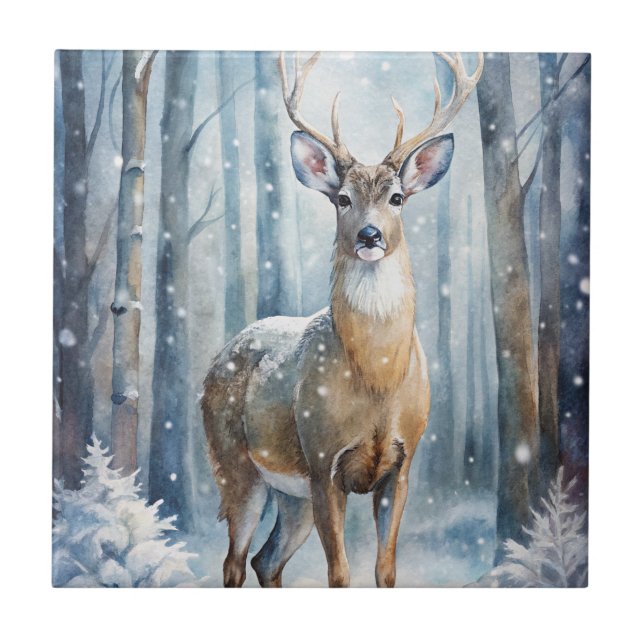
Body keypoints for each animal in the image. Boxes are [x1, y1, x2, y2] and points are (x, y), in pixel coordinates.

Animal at [202, 51, 483, 588]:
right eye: (342, 198)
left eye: (397, 197)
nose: (370, 235)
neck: (376, 378)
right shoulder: (322, 464)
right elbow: (340, 575)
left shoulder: (401, 464)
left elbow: (385, 572)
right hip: (235, 464)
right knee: (232, 563)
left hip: (288, 494)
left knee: (265, 560)